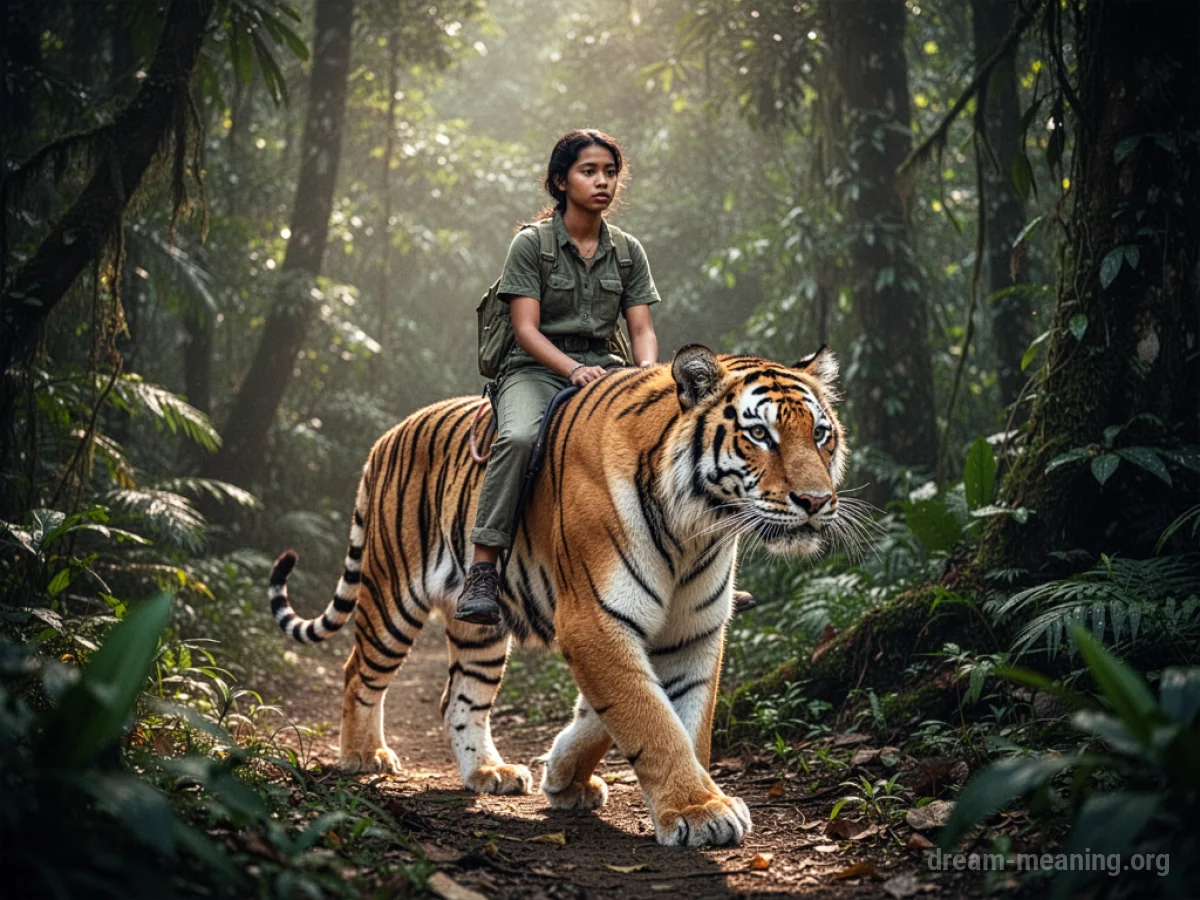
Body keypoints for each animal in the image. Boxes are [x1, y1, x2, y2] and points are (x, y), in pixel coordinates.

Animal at [267, 344, 848, 847]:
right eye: (760, 435)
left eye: (821, 434)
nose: (817, 501)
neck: (697, 531)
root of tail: (386, 436)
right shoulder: (594, 620)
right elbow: (650, 717)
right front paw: (699, 811)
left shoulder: (693, 631)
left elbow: (674, 719)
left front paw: (567, 777)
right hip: (391, 595)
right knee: (358, 672)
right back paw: (364, 757)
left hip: (479, 628)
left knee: (460, 698)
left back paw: (489, 771)